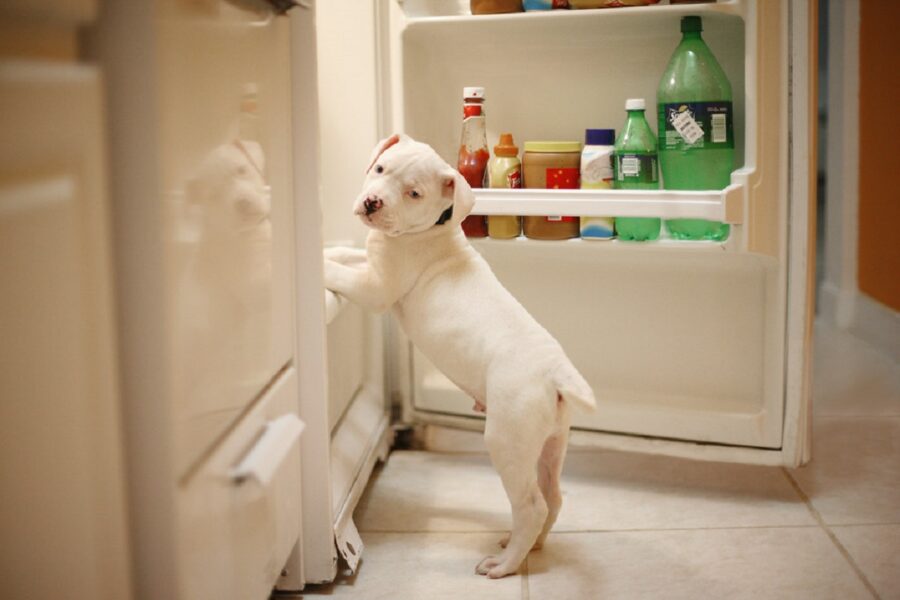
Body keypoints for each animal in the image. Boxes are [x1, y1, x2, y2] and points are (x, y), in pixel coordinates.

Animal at [324, 135, 596, 576]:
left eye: (413, 193)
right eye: (380, 169)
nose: (372, 202)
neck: (422, 233)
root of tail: (556, 372)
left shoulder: (376, 287)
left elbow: (338, 273)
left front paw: (312, 265)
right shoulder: (370, 264)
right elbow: (346, 258)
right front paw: (328, 250)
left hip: (507, 439)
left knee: (532, 505)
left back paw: (505, 563)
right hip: (549, 442)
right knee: (552, 496)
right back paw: (531, 546)